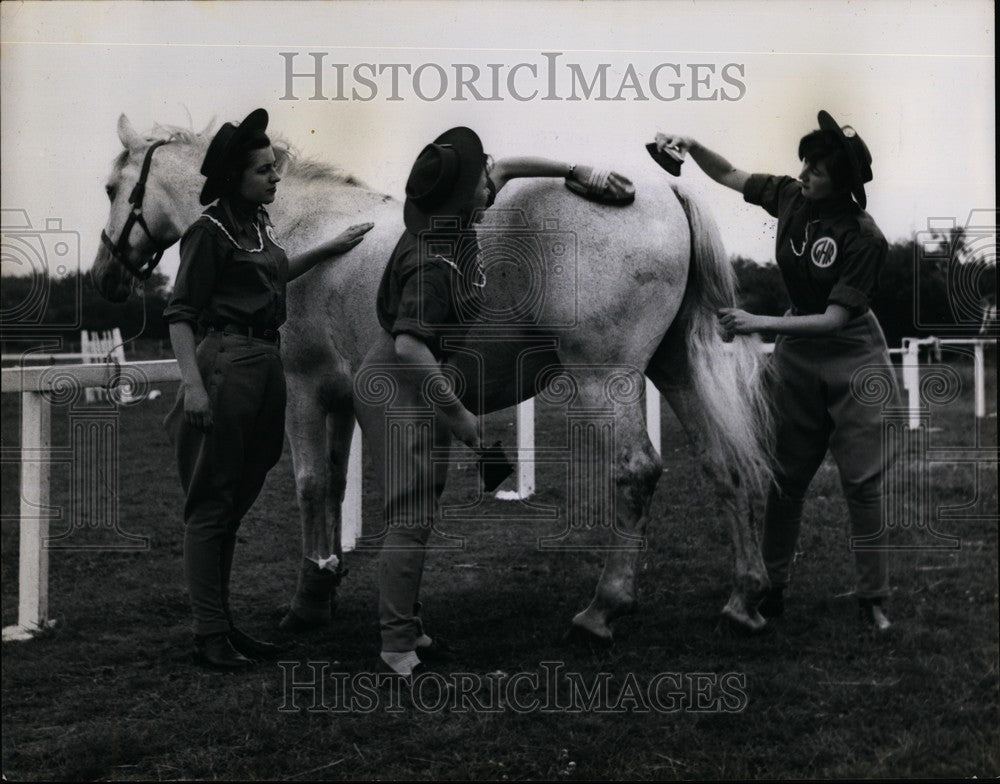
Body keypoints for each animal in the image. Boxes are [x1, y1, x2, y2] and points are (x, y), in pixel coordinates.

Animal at [92, 118, 772, 644]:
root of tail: (664, 190)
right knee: (723, 464)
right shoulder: (342, 402)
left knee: (636, 472)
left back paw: (603, 609)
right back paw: (744, 600)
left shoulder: (304, 392)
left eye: (110, 187)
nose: (105, 276)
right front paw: (325, 585)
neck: (304, 230)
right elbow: (335, 486)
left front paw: (307, 604)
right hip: (673, 370)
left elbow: (310, 487)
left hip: (604, 380)